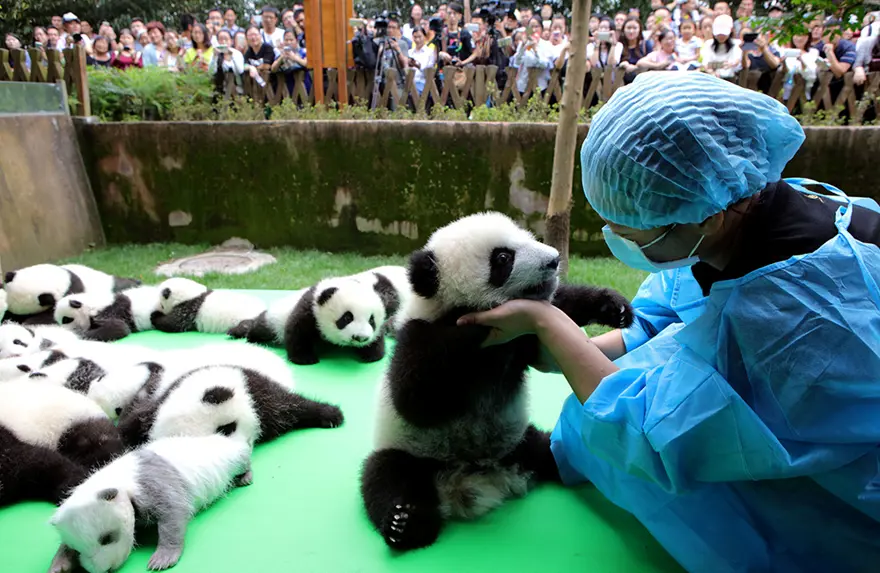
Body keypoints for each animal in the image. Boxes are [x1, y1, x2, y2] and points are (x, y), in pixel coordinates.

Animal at [48, 434, 252, 573]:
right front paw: (59, 564)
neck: (114, 480)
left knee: (242, 458)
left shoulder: (151, 484)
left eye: (106, 538)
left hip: (229, 456)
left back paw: (245, 476)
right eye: (77, 549)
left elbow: (174, 512)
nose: (103, 570)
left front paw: (162, 559)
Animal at [359, 212, 634, 551]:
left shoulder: (523, 339)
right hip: (411, 452)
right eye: (503, 258)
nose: (554, 260)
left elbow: (558, 307)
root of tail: (478, 478)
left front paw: (613, 307)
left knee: (552, 450)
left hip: (520, 441)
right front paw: (470, 327)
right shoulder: (417, 336)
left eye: (526, 237)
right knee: (386, 477)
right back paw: (406, 523)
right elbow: (415, 401)